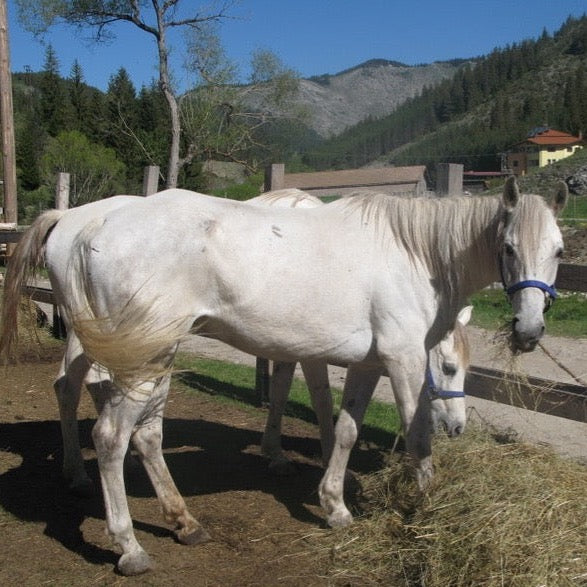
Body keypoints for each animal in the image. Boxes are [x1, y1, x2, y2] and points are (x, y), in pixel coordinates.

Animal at [1, 179, 564, 576]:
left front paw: (335, 506)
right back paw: (129, 547)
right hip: (140, 357)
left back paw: (184, 524)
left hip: (154, 355)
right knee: (110, 435)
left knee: (140, 433)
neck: (414, 253)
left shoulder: (367, 365)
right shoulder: (403, 361)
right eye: (509, 247)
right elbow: (418, 436)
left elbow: (345, 430)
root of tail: (86, 225)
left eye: (559, 251)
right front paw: (430, 512)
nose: (530, 330)